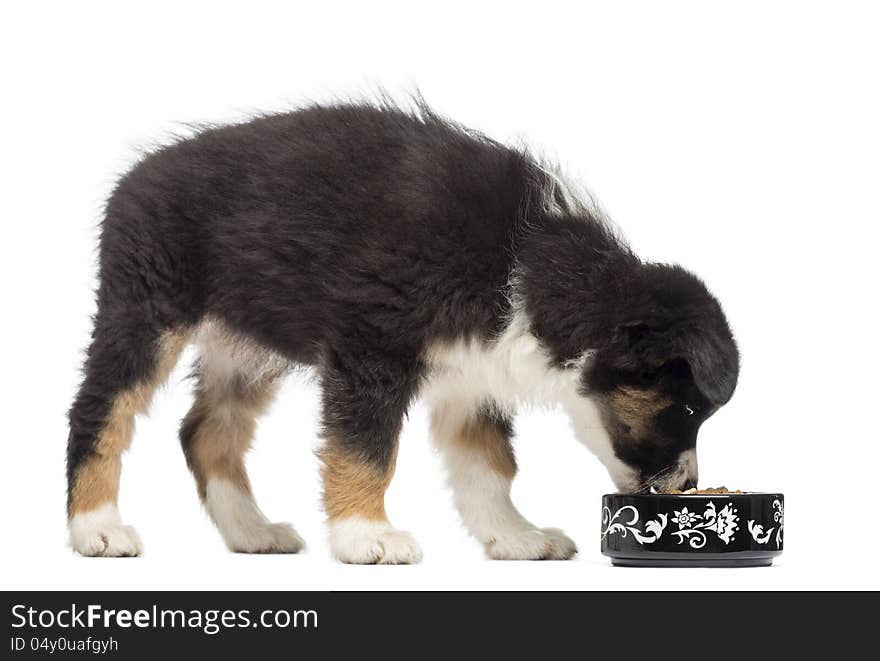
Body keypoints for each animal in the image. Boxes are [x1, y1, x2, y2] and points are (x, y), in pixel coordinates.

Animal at [69, 102, 740, 564]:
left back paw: (252, 532)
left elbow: (488, 465)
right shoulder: (370, 347)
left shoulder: (475, 376)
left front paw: (516, 537)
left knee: (205, 430)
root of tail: (133, 175)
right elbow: (366, 449)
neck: (529, 267)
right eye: (686, 407)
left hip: (245, 343)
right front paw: (368, 536)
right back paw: (96, 528)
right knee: (100, 410)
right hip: (146, 309)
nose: (690, 487)